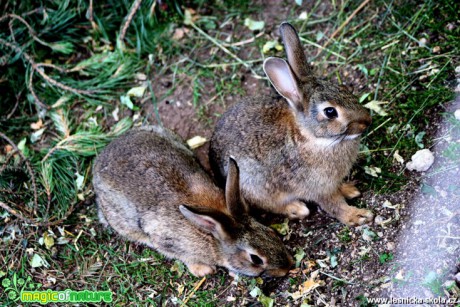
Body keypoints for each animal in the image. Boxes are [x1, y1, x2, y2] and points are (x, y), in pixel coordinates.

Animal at [92, 126, 292, 278]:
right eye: (255, 259)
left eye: (272, 232)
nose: (287, 267)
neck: (214, 237)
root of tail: (100, 159)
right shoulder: (166, 240)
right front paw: (203, 270)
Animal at [208, 22, 374, 227]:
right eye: (330, 112)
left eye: (343, 88)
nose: (367, 121)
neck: (314, 139)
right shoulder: (318, 188)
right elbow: (334, 206)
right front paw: (358, 216)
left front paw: (349, 189)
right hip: (251, 184)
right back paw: (297, 208)